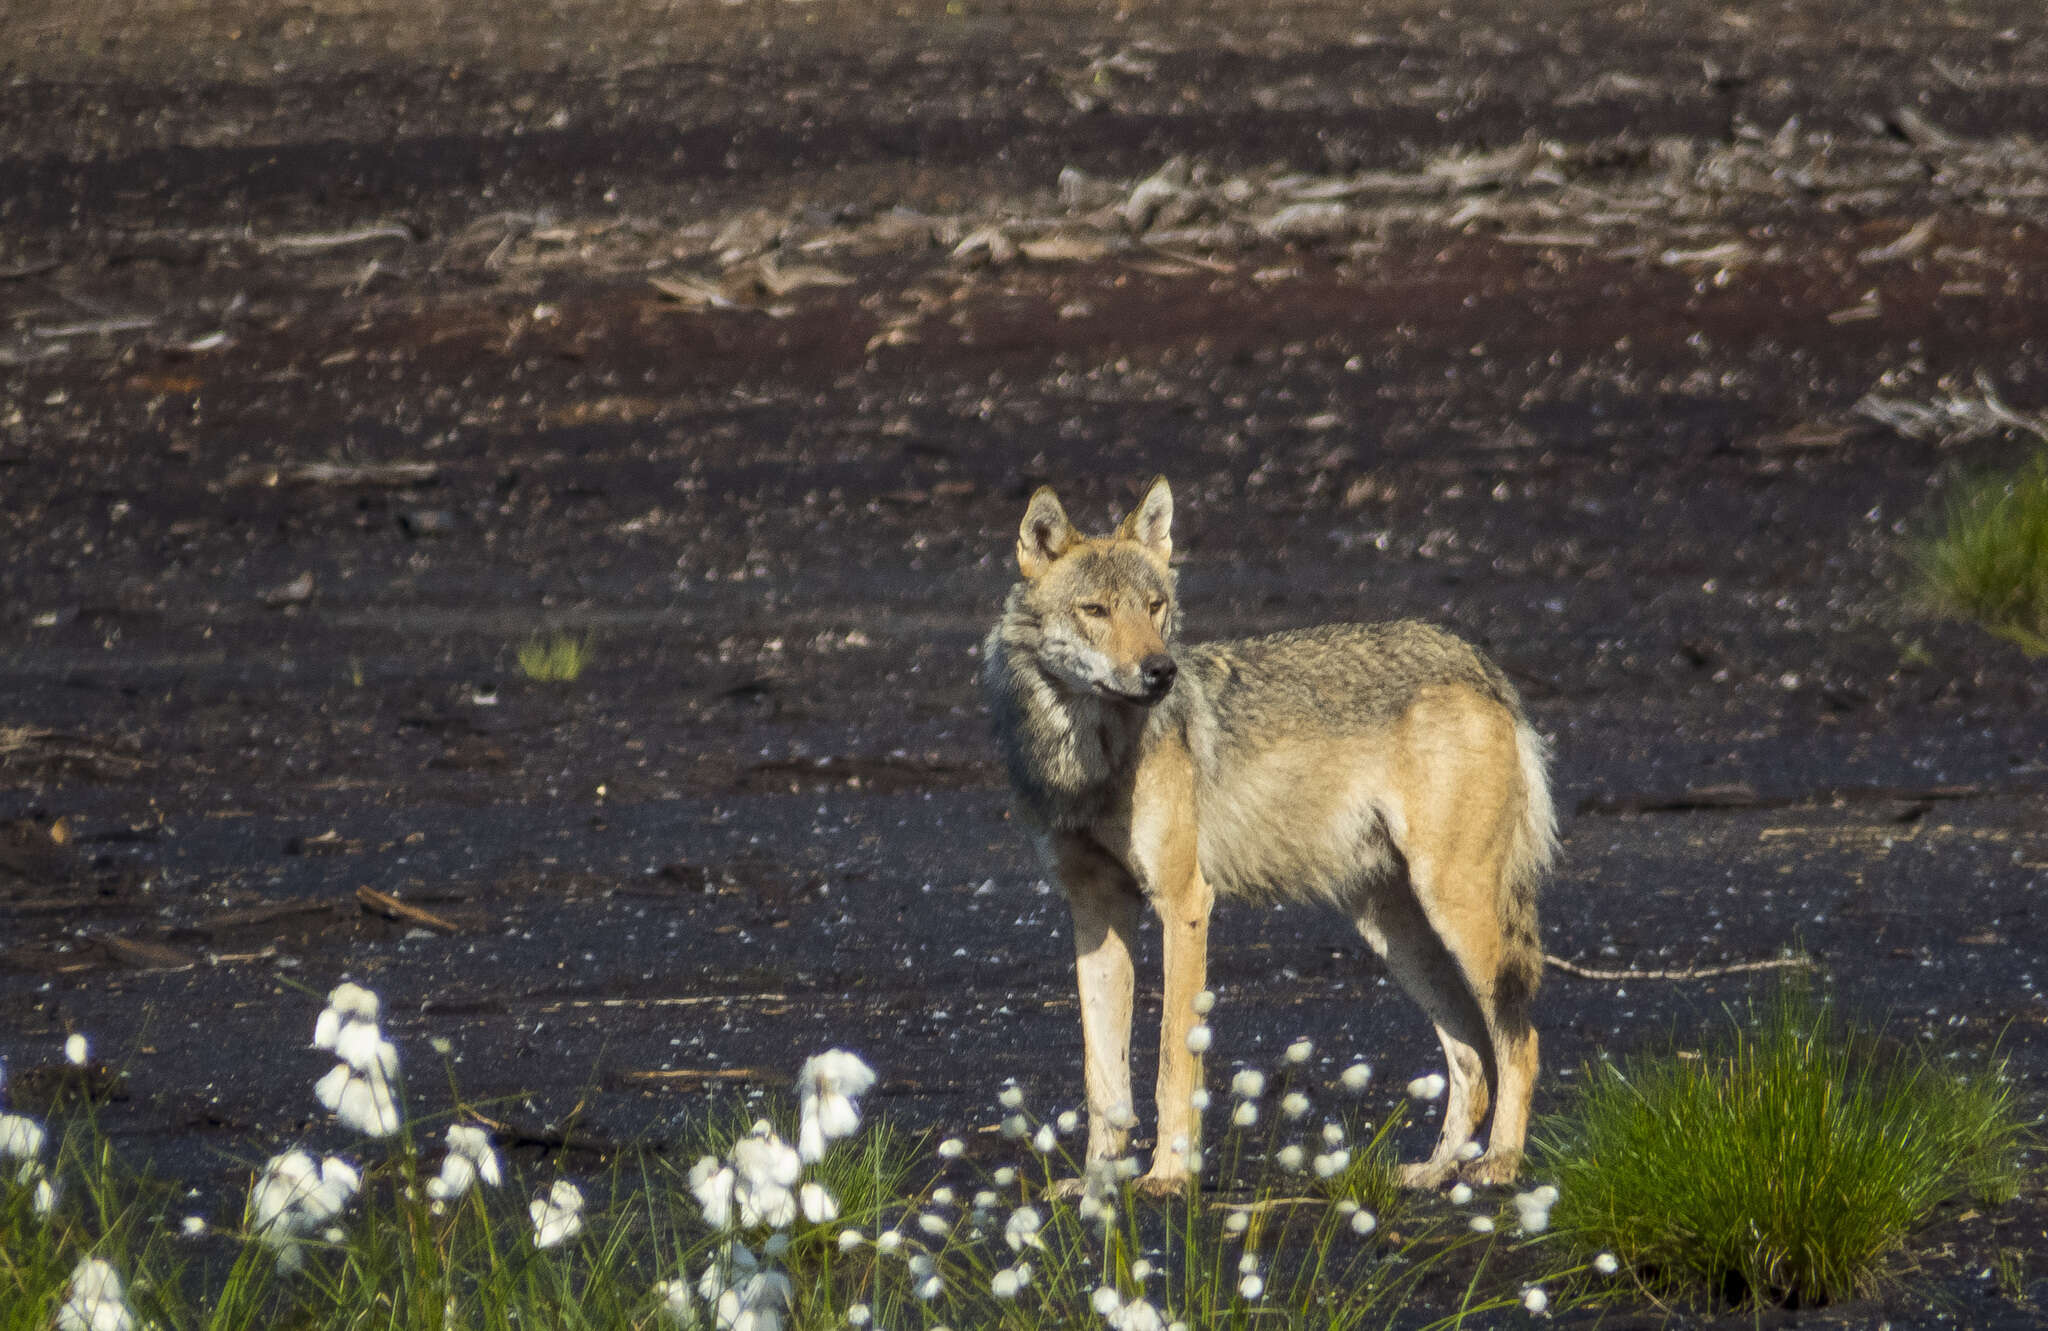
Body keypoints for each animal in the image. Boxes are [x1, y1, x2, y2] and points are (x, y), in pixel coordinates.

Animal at [987, 477, 1548, 1195]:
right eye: (1095, 610)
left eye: (1154, 607)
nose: (1160, 671)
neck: (1086, 754)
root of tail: (1475, 658)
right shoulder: (1093, 913)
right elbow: (1103, 1079)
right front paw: (1096, 1187)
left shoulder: (1185, 902)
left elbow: (1172, 1061)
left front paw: (1168, 1174)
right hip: (1393, 931)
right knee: (1471, 1053)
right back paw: (1435, 1168)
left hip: (1457, 909)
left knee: (1518, 1040)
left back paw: (1498, 1161)